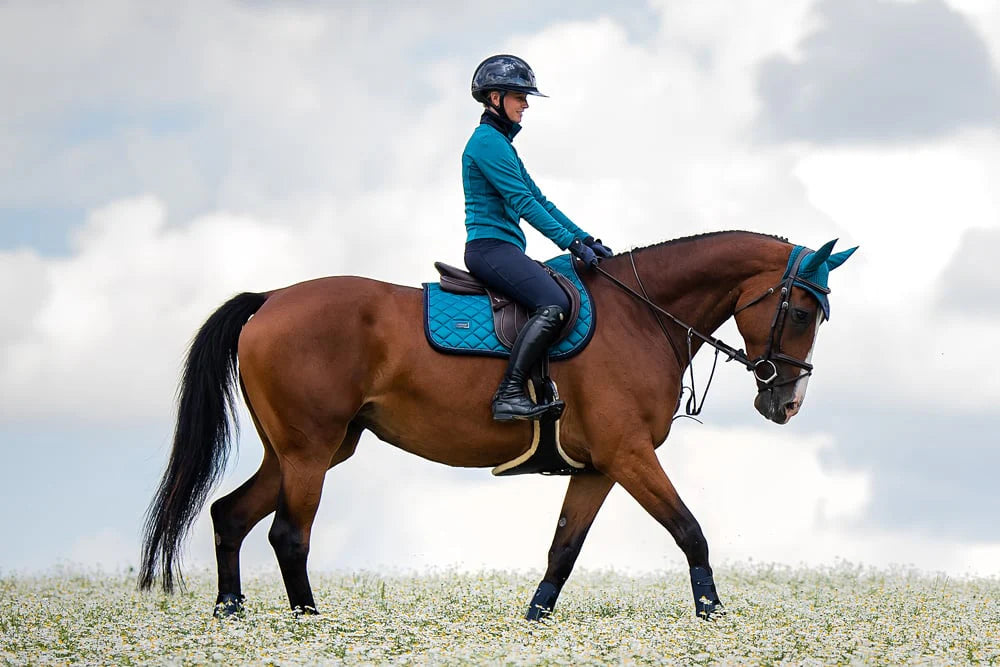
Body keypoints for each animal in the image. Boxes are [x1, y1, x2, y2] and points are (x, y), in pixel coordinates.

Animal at [139, 231, 860, 620]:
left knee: (231, 515)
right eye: (800, 310)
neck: (643, 316)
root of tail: (270, 300)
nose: (786, 402)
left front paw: (533, 625)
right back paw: (310, 624)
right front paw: (715, 620)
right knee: (288, 535)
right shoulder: (630, 456)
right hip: (311, 453)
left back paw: (231, 618)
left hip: (301, 451)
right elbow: (691, 532)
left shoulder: (599, 467)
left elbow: (563, 550)